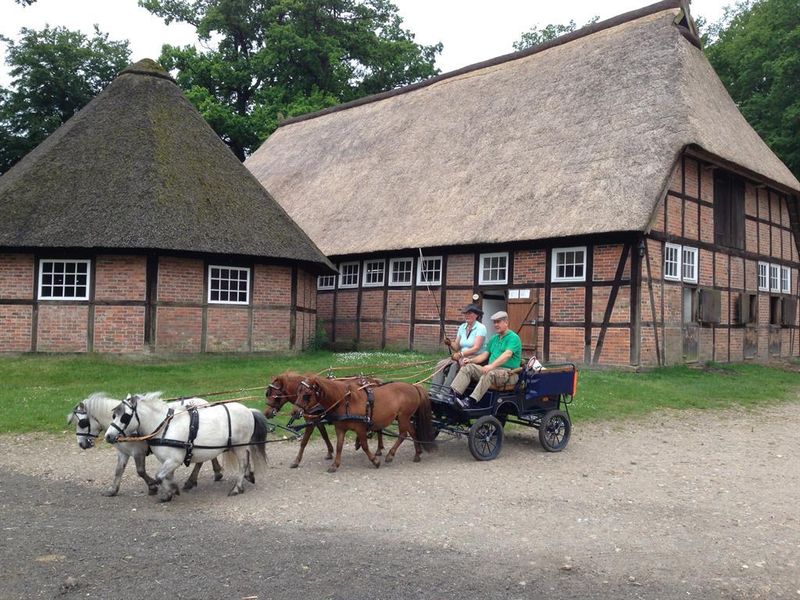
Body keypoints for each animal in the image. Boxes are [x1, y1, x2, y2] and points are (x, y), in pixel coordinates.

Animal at [67, 392, 223, 494]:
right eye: (113, 415)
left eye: (82, 422)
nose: (81, 444)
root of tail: (204, 402)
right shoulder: (123, 452)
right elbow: (118, 470)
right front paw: (112, 489)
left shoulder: (138, 452)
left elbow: (140, 471)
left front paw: (152, 486)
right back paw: (216, 472)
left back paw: (192, 481)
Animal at [104, 394, 268, 502]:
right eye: (114, 415)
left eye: (125, 416)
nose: (108, 436)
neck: (165, 426)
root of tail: (248, 410)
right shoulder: (166, 460)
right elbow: (165, 476)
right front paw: (169, 492)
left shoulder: (174, 460)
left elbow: (159, 476)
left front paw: (171, 489)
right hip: (236, 446)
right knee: (247, 456)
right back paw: (248, 476)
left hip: (239, 446)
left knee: (243, 463)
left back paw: (237, 487)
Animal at [296, 376, 434, 474]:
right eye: (298, 391)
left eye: (307, 394)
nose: (296, 412)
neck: (346, 402)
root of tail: (414, 387)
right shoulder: (340, 428)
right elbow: (339, 446)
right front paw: (335, 465)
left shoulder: (360, 428)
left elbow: (364, 446)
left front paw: (375, 461)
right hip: (404, 418)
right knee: (412, 431)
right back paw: (417, 453)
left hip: (403, 417)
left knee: (403, 434)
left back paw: (390, 455)